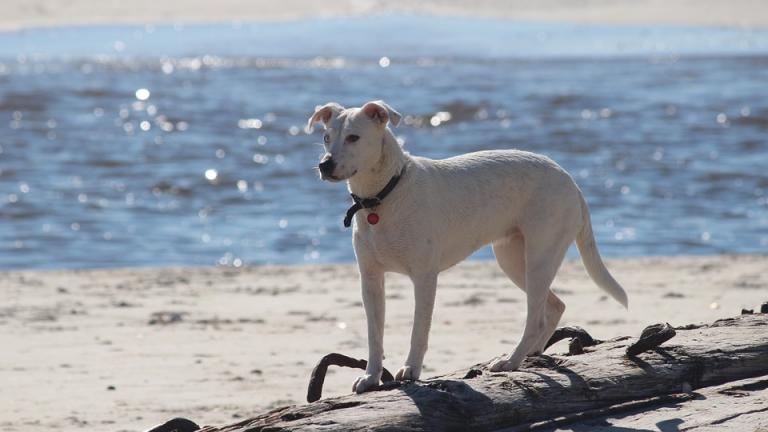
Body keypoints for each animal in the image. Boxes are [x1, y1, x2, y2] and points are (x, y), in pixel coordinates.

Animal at [304, 99, 628, 394]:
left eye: (354, 137)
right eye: (326, 137)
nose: (324, 164)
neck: (383, 195)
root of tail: (571, 181)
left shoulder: (424, 277)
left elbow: (419, 330)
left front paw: (411, 370)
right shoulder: (370, 279)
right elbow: (375, 335)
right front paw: (371, 377)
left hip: (539, 255)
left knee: (536, 316)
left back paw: (511, 361)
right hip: (513, 259)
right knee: (554, 306)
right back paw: (532, 353)